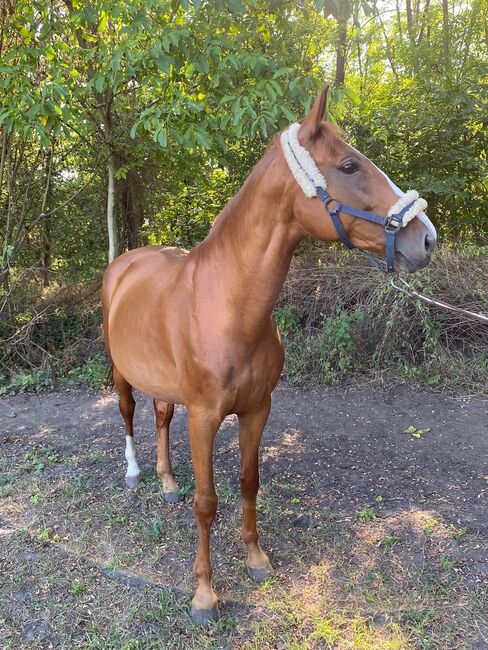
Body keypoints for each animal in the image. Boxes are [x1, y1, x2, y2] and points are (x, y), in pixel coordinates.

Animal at [102, 86, 434, 624]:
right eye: (349, 165)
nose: (425, 238)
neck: (226, 305)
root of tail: (126, 263)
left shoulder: (258, 408)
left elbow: (249, 481)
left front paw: (256, 559)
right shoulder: (204, 417)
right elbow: (206, 502)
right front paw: (204, 594)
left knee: (160, 415)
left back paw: (167, 480)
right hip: (120, 372)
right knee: (130, 412)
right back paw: (136, 473)